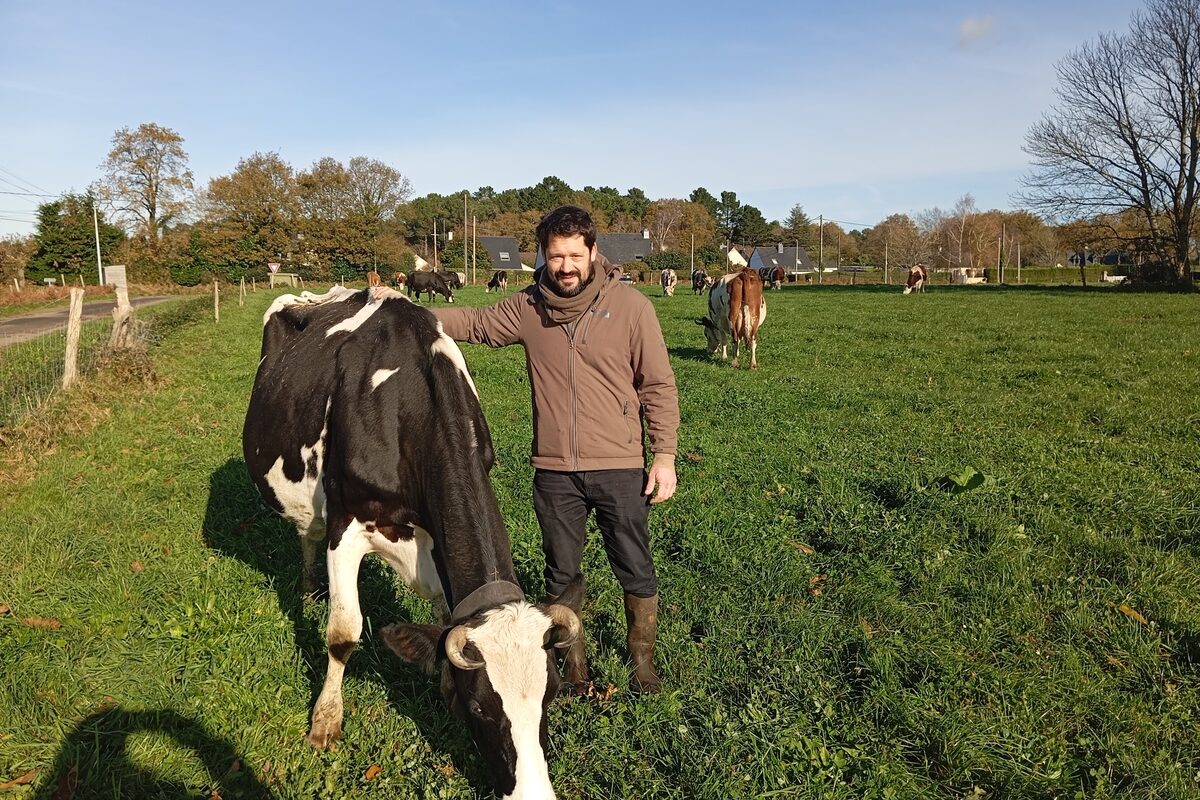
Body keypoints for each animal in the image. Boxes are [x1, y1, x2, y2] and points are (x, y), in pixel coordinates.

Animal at [241, 287, 578, 800]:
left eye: (552, 694)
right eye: (481, 707)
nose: (532, 795)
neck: (406, 406)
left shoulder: (435, 537)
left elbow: (443, 616)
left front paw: (440, 685)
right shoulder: (345, 525)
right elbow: (343, 633)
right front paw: (325, 720)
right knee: (307, 533)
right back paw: (308, 586)